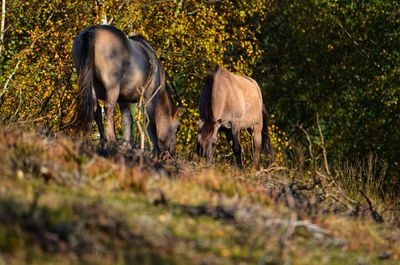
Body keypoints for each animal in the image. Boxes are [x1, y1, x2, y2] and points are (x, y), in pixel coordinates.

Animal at [71, 24, 183, 155]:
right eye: (178, 127)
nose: (173, 152)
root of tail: (91, 31)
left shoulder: (124, 99)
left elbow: (127, 119)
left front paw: (127, 144)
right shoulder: (150, 97)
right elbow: (150, 123)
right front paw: (155, 150)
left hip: (88, 84)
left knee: (94, 110)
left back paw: (96, 141)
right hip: (112, 86)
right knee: (108, 110)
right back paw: (113, 141)